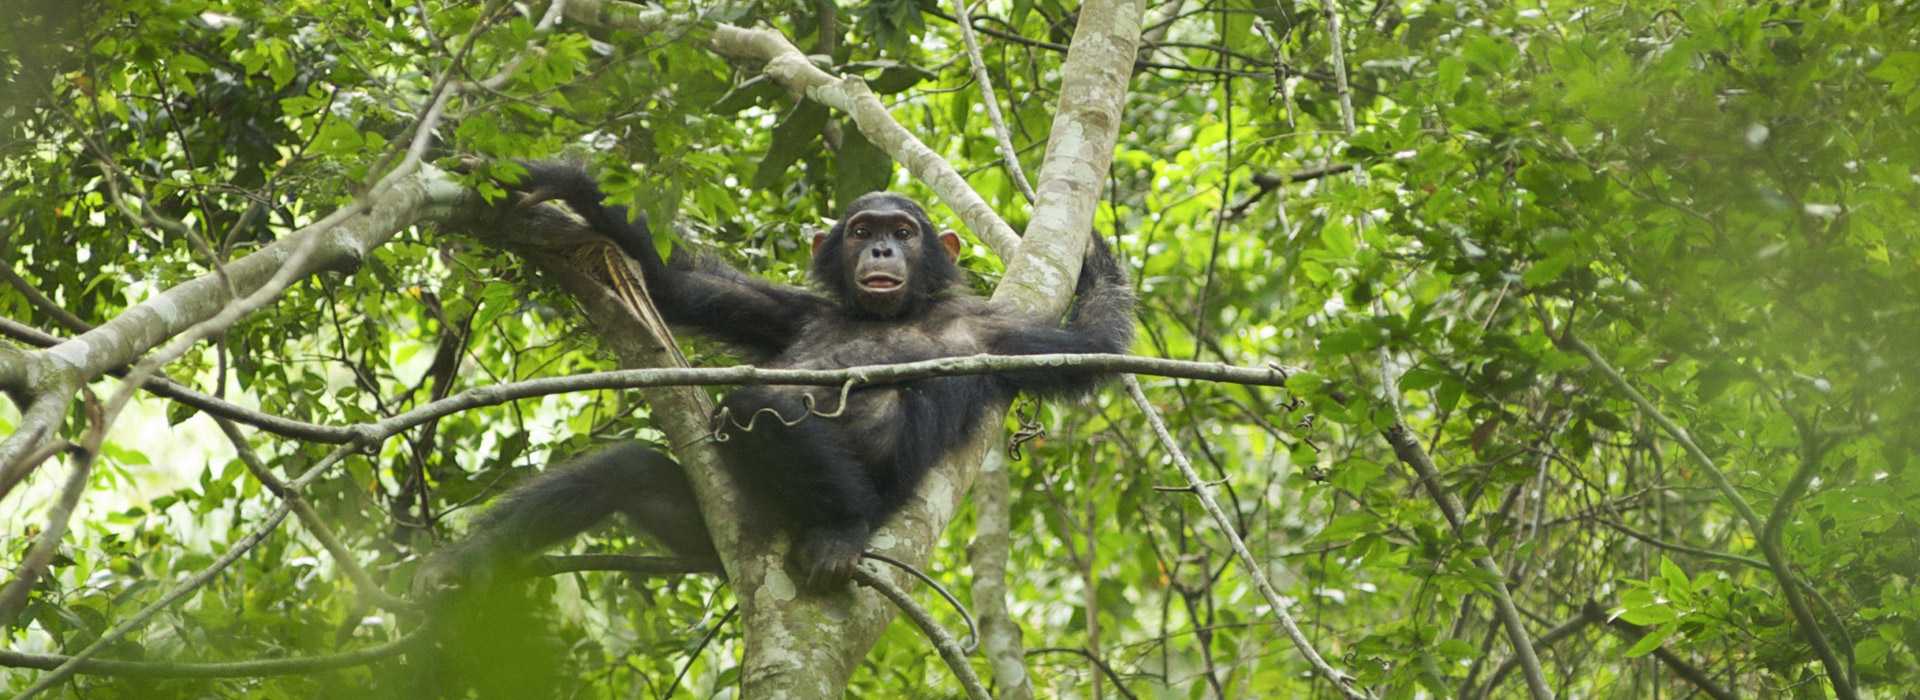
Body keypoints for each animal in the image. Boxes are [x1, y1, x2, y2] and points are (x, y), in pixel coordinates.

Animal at [418, 162, 1128, 590]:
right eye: (862, 230)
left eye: (904, 231)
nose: (881, 248)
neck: (892, 312)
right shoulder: (792, 312)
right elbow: (683, 287)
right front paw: (564, 182)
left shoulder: (996, 336)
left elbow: (1091, 350)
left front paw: (1093, 250)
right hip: (709, 524)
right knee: (625, 472)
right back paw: (459, 565)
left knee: (762, 406)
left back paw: (840, 532)